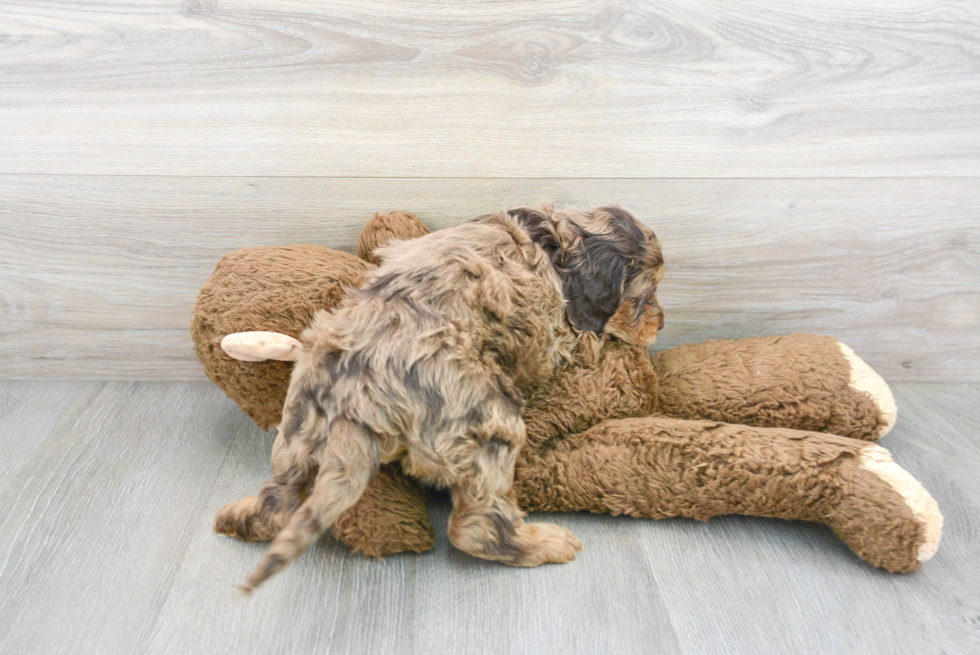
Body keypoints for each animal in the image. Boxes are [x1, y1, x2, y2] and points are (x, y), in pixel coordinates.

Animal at [214, 204, 668, 588]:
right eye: (646, 297)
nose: (662, 325)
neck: (552, 239)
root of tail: (355, 404)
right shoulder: (558, 335)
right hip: (489, 425)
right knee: (477, 527)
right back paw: (543, 543)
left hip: (298, 424)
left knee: (279, 497)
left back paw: (240, 518)